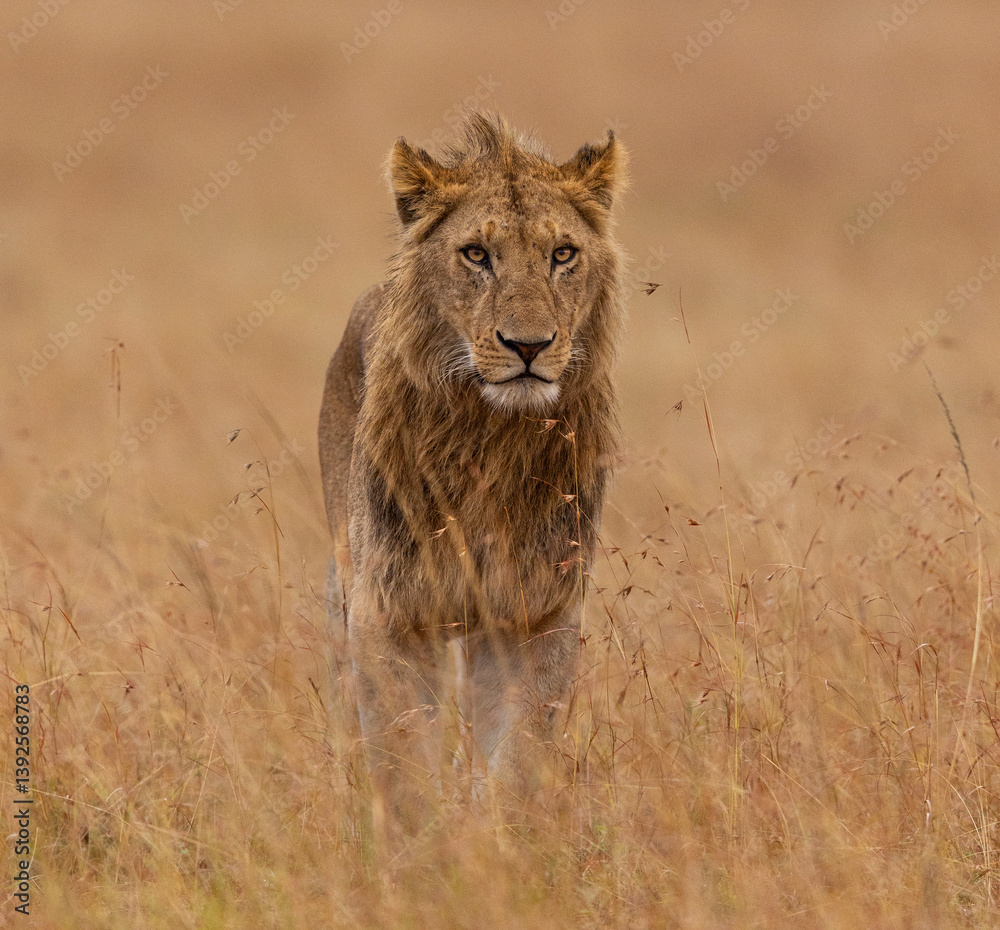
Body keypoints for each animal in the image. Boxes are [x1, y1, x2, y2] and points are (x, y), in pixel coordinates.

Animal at [318, 113, 627, 834]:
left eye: (563, 254)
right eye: (476, 255)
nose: (529, 346)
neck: (491, 439)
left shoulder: (538, 611)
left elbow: (519, 757)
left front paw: (499, 839)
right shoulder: (390, 610)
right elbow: (403, 755)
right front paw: (419, 846)